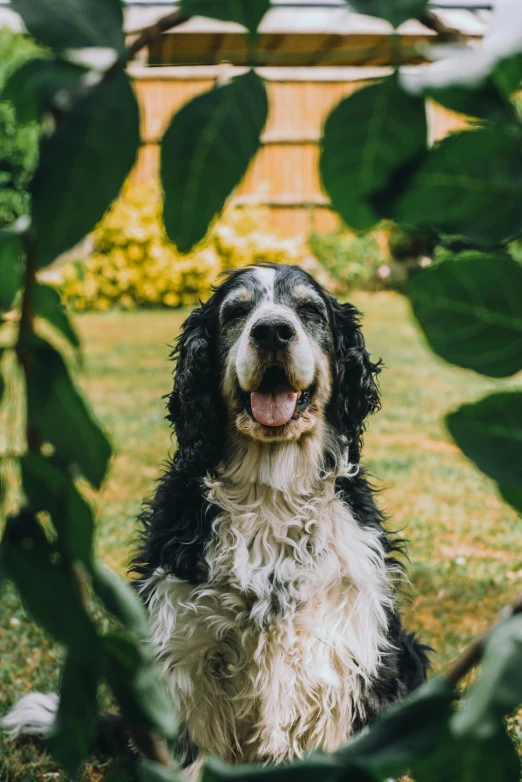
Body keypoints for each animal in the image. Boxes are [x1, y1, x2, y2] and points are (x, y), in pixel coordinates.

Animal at [3, 264, 426, 776]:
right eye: (236, 313)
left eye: (309, 310)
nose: (272, 331)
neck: (271, 493)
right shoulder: (184, 663)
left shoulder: (346, 659)